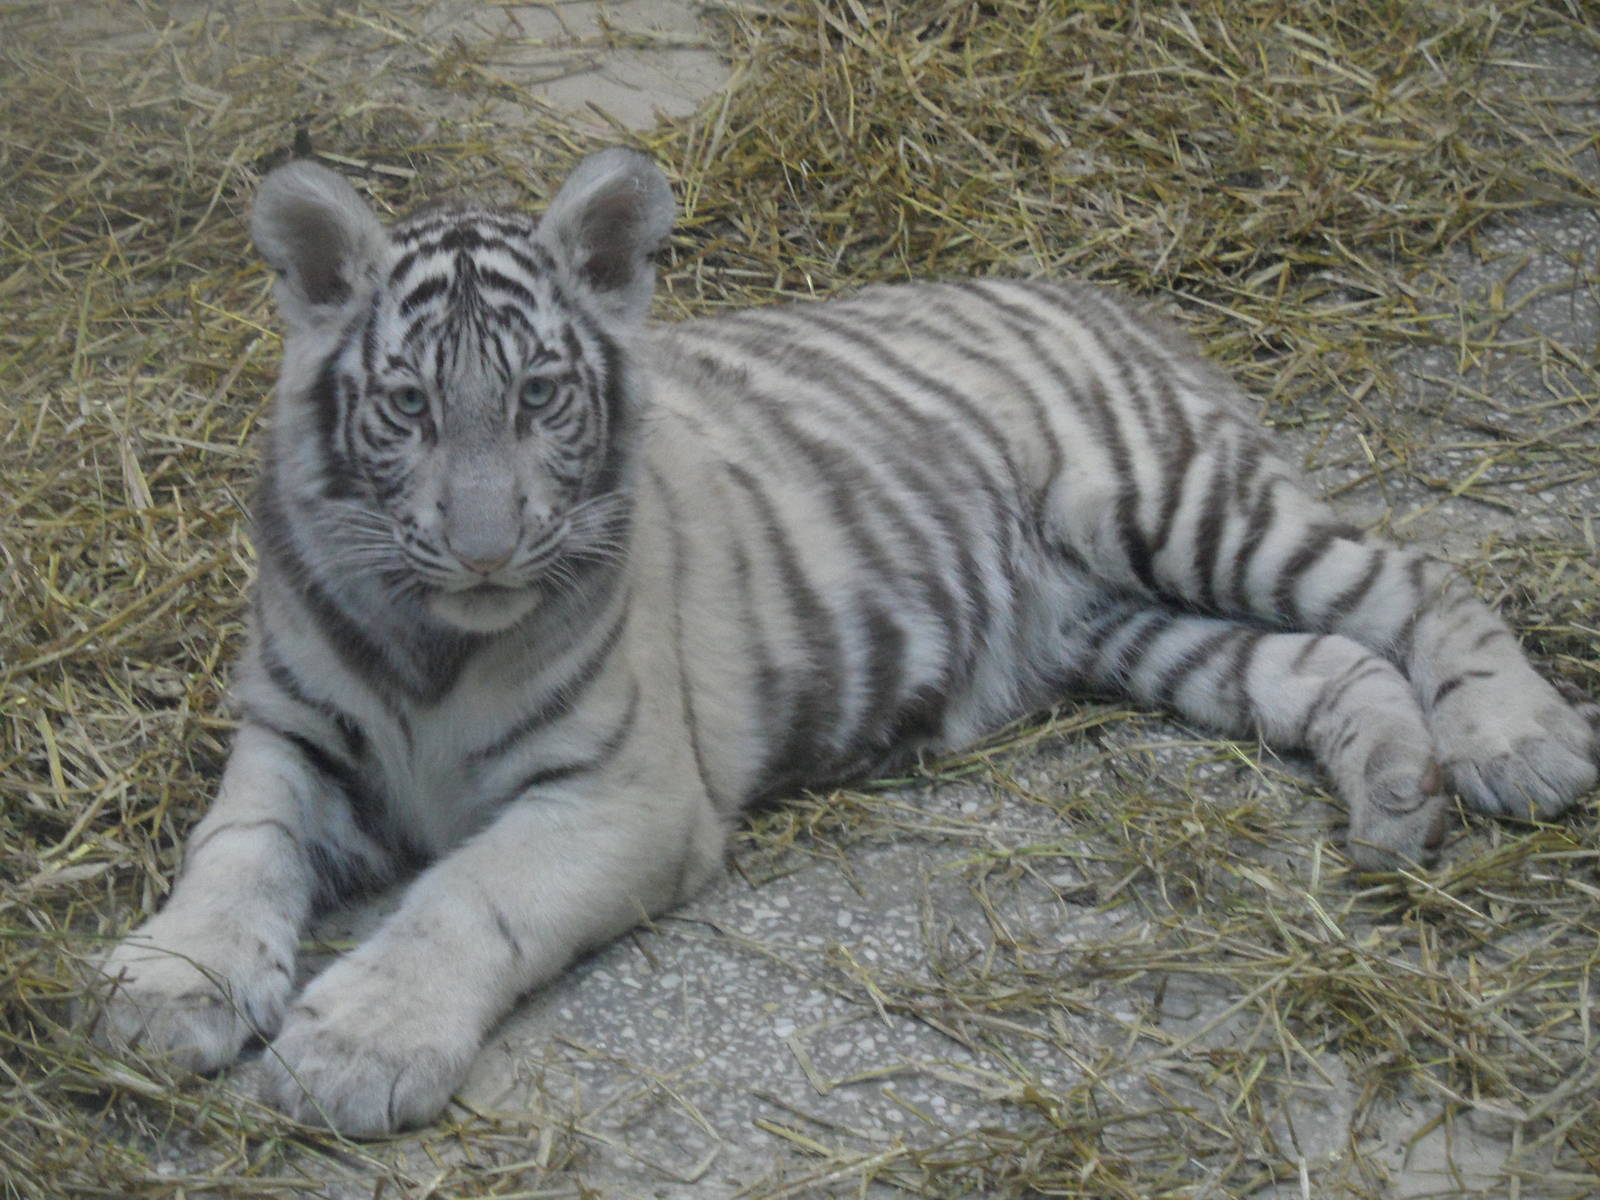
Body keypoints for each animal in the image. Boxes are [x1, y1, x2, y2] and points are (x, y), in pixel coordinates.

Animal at [86, 148, 1600, 1137]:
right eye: (406, 405)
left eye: (540, 396)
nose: (484, 550)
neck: (432, 641)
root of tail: (1108, 293)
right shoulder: (293, 736)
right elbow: (234, 846)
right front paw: (169, 985)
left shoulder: (625, 793)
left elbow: (470, 891)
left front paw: (354, 1046)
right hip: (1136, 626)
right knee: (1332, 660)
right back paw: (1398, 801)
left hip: (1180, 506)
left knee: (1417, 577)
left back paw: (1517, 744)